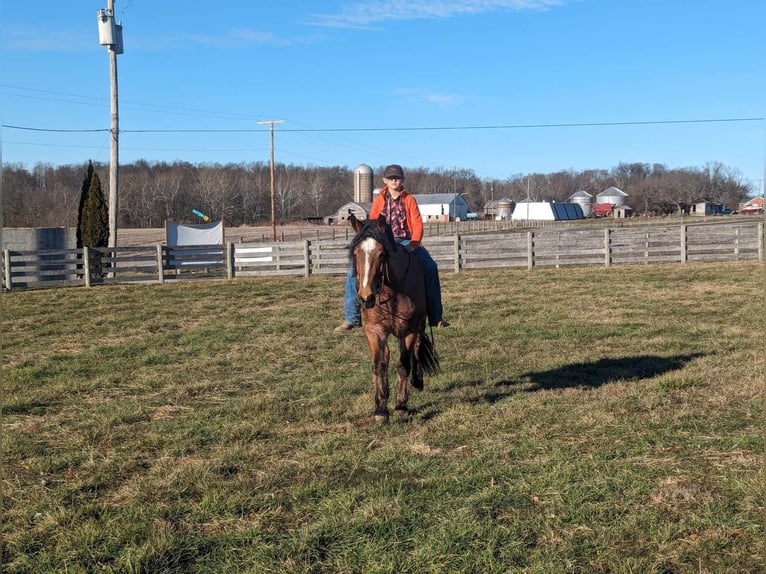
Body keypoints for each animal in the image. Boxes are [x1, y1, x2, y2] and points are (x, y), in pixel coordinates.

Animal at [346, 214, 438, 426]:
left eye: (382, 254)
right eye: (355, 253)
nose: (366, 297)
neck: (392, 289)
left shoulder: (409, 330)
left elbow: (403, 364)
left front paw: (401, 406)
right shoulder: (375, 331)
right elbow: (379, 365)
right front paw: (380, 410)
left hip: (419, 326)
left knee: (416, 350)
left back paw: (417, 381)